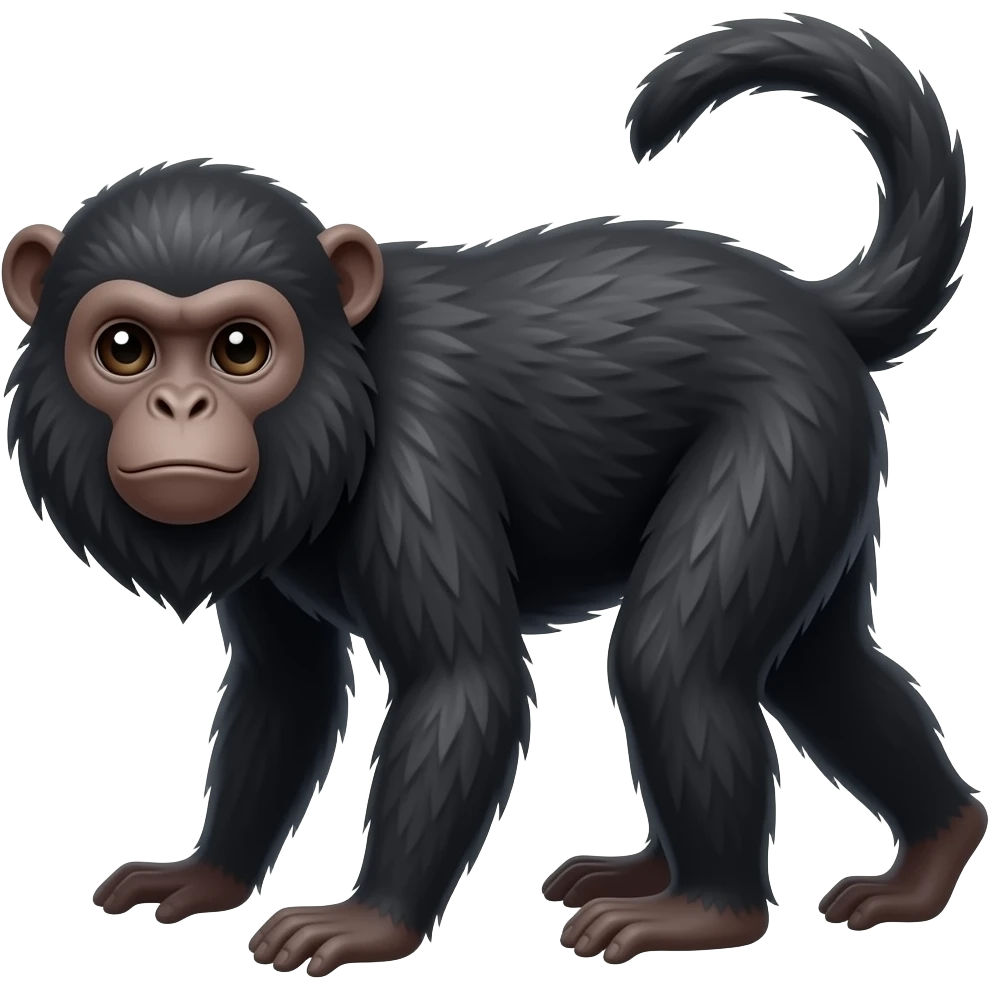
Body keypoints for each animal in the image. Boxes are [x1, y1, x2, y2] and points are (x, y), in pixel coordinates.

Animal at [1, 12, 983, 975]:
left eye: (239, 348)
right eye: (126, 348)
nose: (181, 404)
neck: (344, 388)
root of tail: (816, 308)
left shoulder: (417, 462)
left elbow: (460, 685)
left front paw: (371, 922)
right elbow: (285, 686)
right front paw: (209, 874)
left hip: (786, 442)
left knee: (673, 661)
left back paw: (709, 907)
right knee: (820, 665)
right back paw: (917, 852)